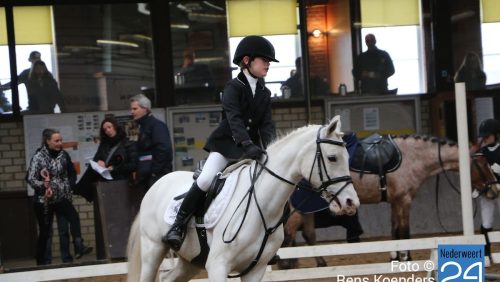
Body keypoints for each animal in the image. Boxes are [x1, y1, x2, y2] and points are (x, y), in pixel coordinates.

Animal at [125, 115, 360, 280]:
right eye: (332, 158)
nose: (351, 203)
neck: (262, 208)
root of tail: (157, 183)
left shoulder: (255, 270)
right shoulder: (218, 266)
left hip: (190, 260)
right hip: (153, 250)